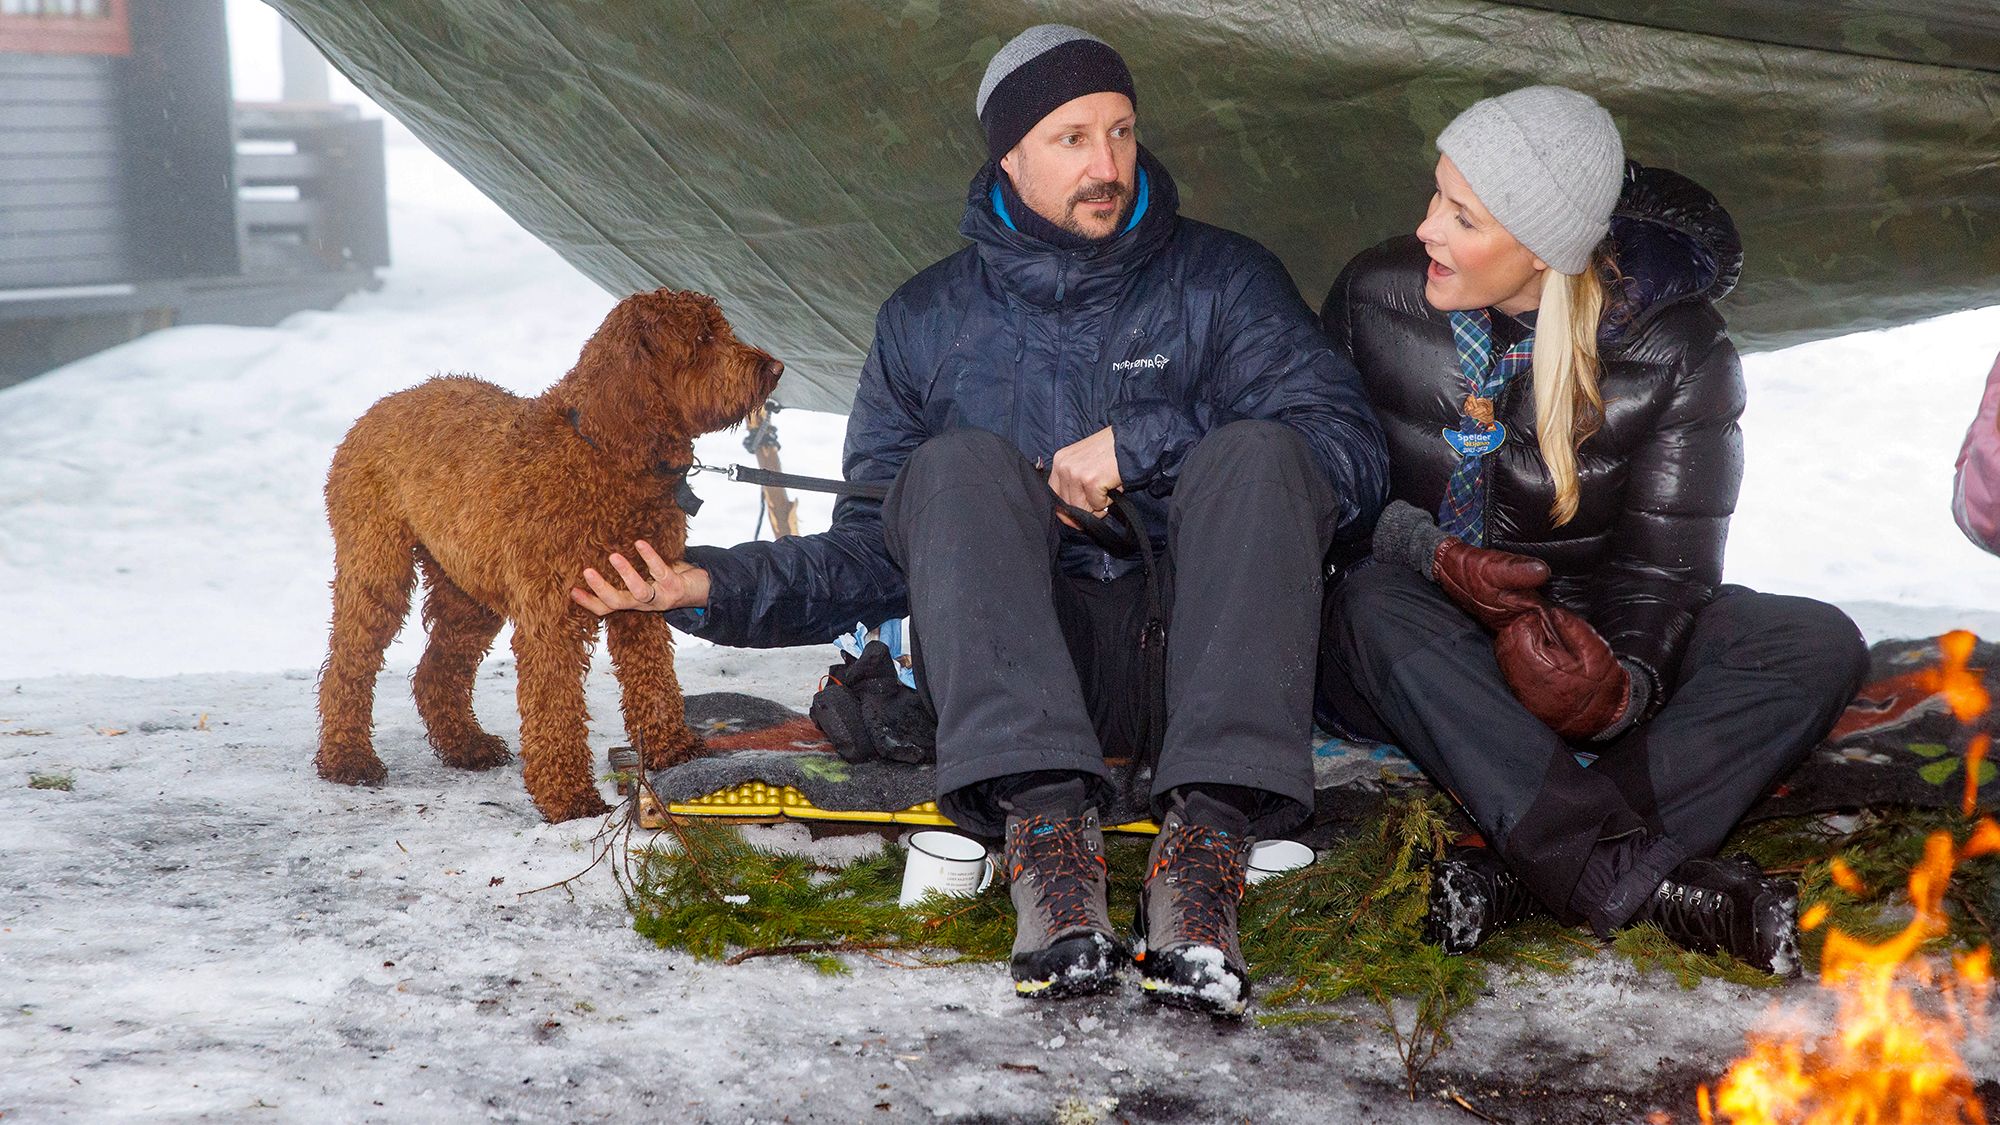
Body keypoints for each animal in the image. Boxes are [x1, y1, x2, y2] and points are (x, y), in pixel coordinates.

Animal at [316, 284, 776, 820]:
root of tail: (381, 406)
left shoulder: (641, 599)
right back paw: (347, 757)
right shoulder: (550, 617)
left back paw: (466, 745)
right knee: (349, 663)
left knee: (437, 669)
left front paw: (673, 749)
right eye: (701, 339)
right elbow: (555, 707)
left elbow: (654, 680)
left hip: (467, 587)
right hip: (377, 565)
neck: (604, 453)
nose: (774, 368)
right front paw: (568, 796)